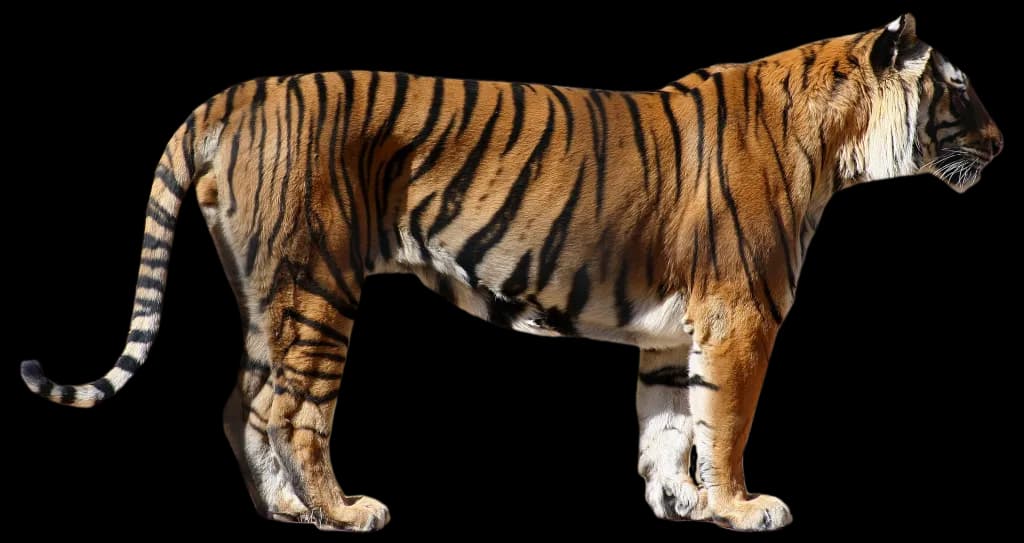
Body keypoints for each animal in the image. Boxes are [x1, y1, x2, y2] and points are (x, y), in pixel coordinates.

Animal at [19, 13, 1001, 532]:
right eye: (957, 85)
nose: (1002, 141)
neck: (841, 144)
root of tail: (230, 96)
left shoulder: (672, 330)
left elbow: (666, 423)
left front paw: (679, 501)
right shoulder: (741, 317)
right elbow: (723, 423)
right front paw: (739, 505)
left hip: (269, 293)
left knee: (242, 401)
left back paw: (287, 512)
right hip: (316, 290)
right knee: (290, 410)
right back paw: (344, 510)